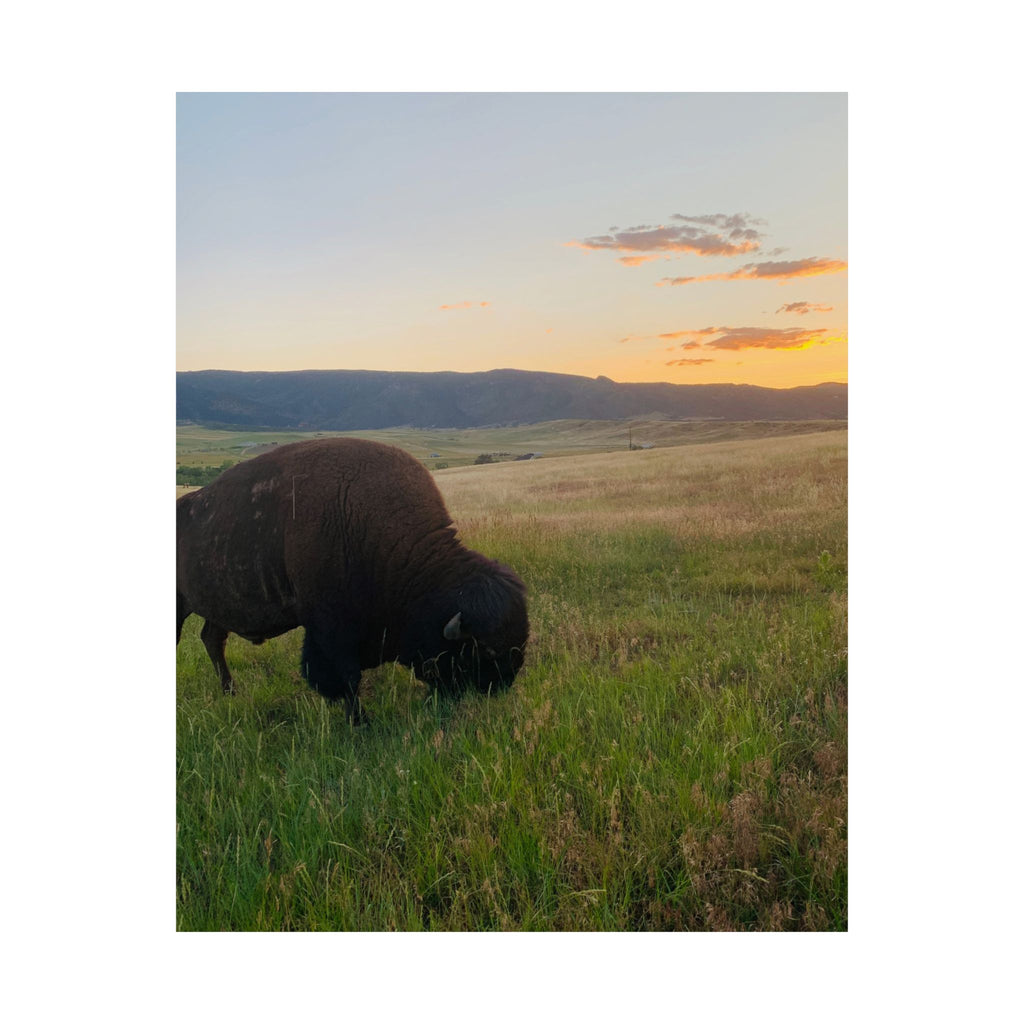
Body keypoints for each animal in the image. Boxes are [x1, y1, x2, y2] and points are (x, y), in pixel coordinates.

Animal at [176, 438, 528, 720]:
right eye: (485, 653)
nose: (499, 689)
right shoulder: (330, 629)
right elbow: (344, 676)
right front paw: (360, 721)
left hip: (217, 606)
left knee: (212, 639)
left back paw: (230, 692)